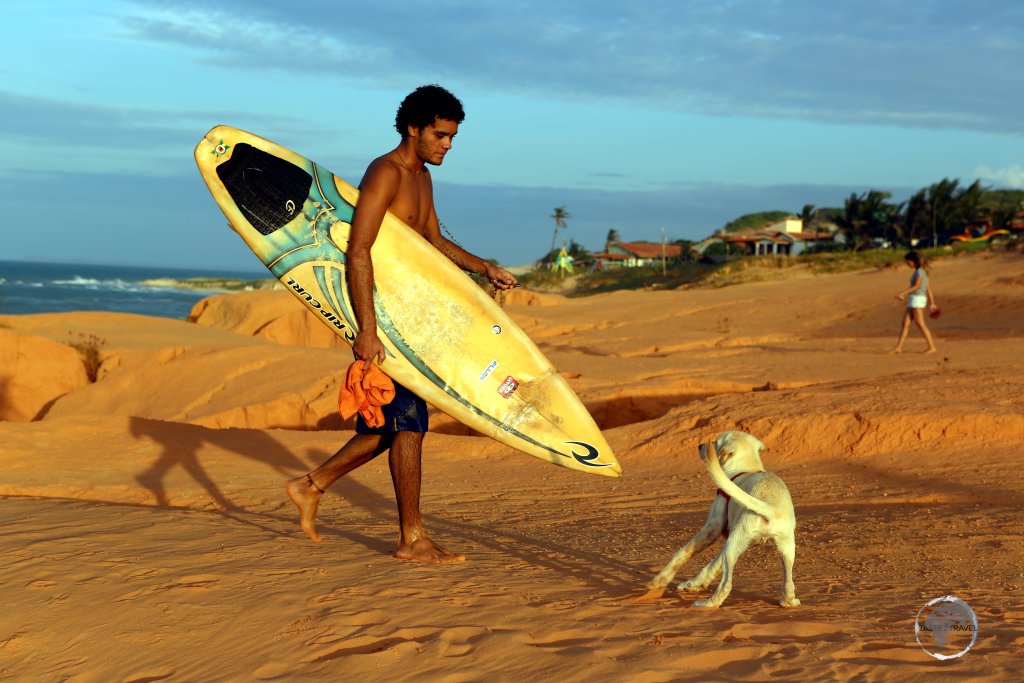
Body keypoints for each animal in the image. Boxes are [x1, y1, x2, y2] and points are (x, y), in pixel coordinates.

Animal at [638, 432, 798, 610]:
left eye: (716, 441)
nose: (700, 445)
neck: (746, 469)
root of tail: (770, 507)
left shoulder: (713, 528)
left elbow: (682, 554)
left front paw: (659, 581)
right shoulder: (733, 540)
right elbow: (712, 565)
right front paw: (694, 584)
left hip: (733, 546)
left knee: (726, 585)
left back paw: (707, 604)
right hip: (783, 549)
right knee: (788, 584)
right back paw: (789, 601)